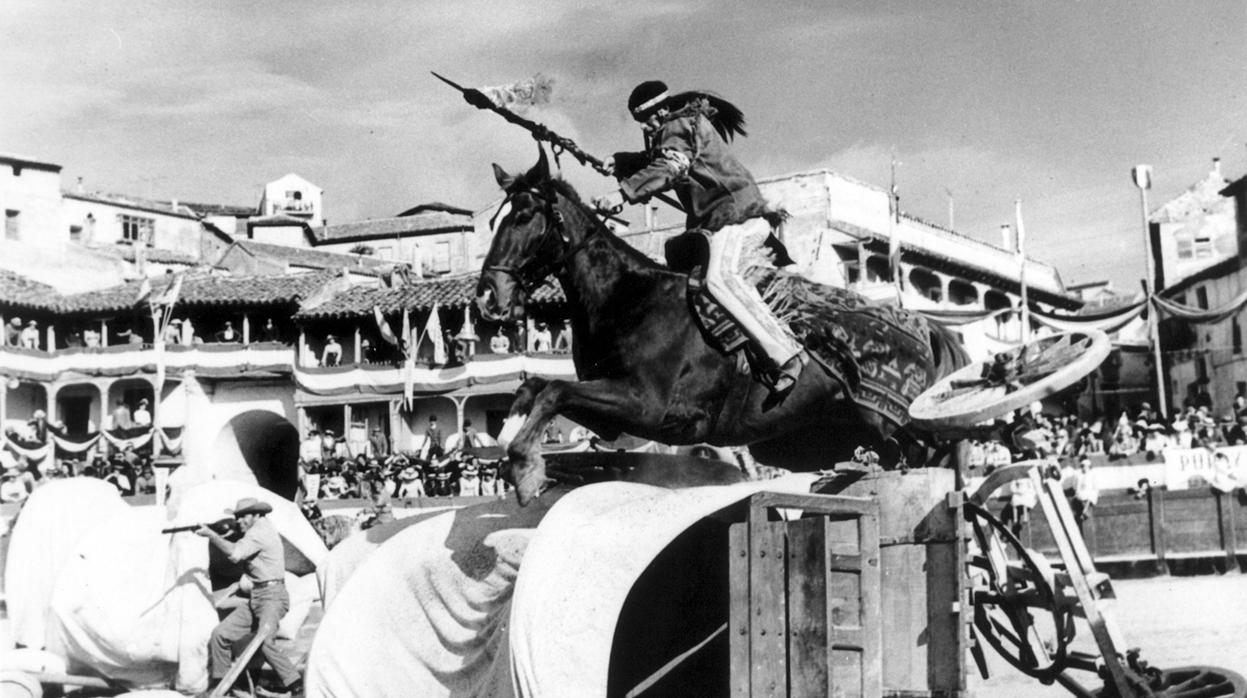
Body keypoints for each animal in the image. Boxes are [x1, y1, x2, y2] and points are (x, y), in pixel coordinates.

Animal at [471, 151, 967, 501]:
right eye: (495, 221)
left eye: (524, 217)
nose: (487, 298)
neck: (628, 298)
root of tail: (928, 329)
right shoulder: (610, 413)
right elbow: (533, 387)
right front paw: (514, 449)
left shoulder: (648, 407)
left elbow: (553, 390)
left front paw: (525, 468)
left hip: (902, 427)